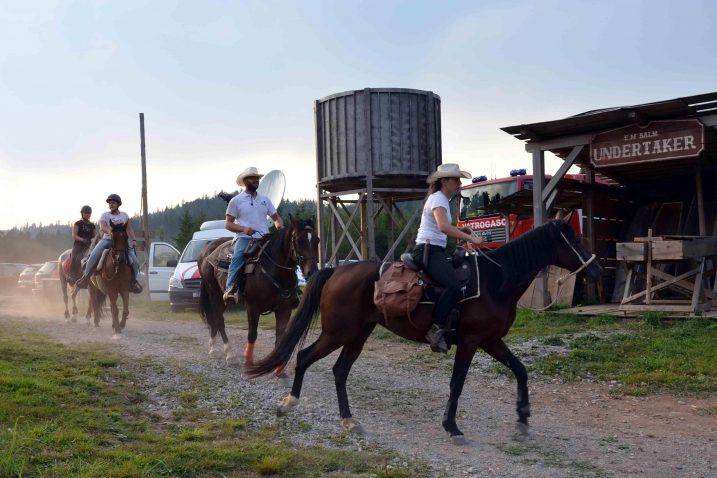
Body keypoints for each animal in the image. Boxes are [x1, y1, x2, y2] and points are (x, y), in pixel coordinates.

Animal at [197, 218, 318, 368]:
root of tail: (206, 251)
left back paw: (213, 349)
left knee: (215, 319)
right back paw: (229, 355)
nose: (311, 272)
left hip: (224, 299)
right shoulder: (253, 308)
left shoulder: (284, 309)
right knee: (219, 319)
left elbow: (280, 336)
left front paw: (277, 367)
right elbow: (252, 334)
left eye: (317, 240)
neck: (273, 269)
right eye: (299, 240)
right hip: (214, 294)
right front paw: (248, 361)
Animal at [246, 214, 600, 444]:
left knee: (339, 370)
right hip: (338, 333)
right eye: (574, 238)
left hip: (358, 334)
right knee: (304, 356)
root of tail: (335, 271)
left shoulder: (492, 340)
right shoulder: (471, 341)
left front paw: (524, 418)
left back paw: (349, 420)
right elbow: (457, 383)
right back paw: (288, 404)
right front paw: (452, 427)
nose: (596, 269)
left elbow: (521, 370)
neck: (496, 281)